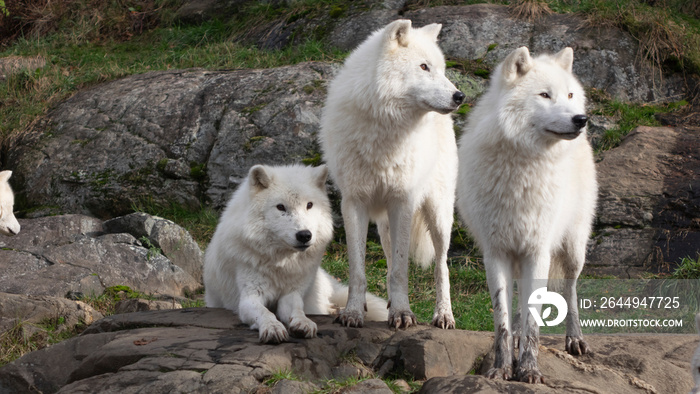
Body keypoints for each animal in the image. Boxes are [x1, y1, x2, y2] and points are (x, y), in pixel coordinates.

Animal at [202, 165, 388, 344]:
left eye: (309, 205)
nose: (304, 235)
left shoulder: (291, 294)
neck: (281, 263)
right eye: (281, 207)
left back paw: (338, 310)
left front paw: (303, 323)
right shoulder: (249, 297)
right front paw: (273, 328)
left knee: (323, 306)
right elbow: (265, 313)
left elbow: (297, 311)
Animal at [456, 46, 600, 382]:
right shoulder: (495, 252)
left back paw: (575, 339)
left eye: (569, 94)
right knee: (520, 305)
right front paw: (501, 368)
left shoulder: (538, 250)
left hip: (573, 250)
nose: (581, 119)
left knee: (570, 289)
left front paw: (529, 369)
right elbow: (503, 320)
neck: (522, 169)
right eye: (545, 95)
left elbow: (534, 322)